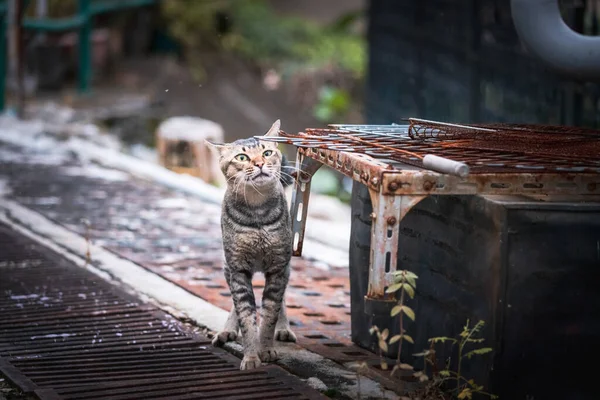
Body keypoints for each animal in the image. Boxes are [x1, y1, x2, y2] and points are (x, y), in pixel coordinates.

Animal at [207, 120, 296, 370]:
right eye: (242, 157)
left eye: (267, 153)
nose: (259, 163)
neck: (257, 213)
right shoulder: (238, 268)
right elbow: (246, 317)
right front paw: (251, 356)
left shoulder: (277, 267)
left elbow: (270, 315)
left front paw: (266, 350)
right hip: (228, 267)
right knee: (235, 304)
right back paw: (227, 330)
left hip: (285, 266)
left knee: (282, 300)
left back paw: (284, 328)